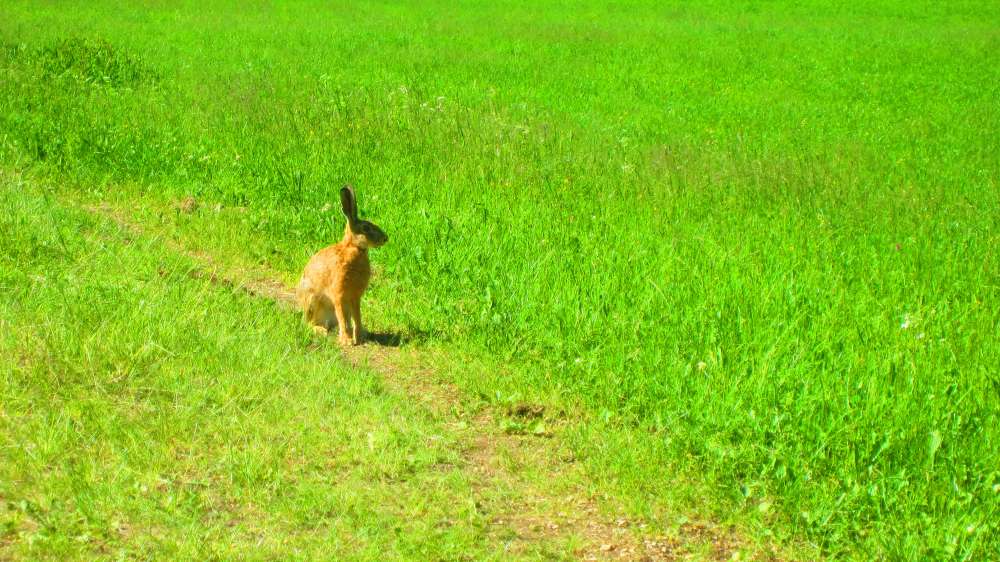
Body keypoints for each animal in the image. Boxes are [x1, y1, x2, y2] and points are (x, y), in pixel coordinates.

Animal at [296, 185, 388, 345]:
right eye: (365, 228)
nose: (385, 238)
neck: (353, 248)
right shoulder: (338, 293)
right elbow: (342, 317)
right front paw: (347, 341)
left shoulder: (355, 297)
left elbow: (357, 317)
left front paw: (359, 337)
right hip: (312, 300)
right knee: (309, 323)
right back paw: (321, 331)